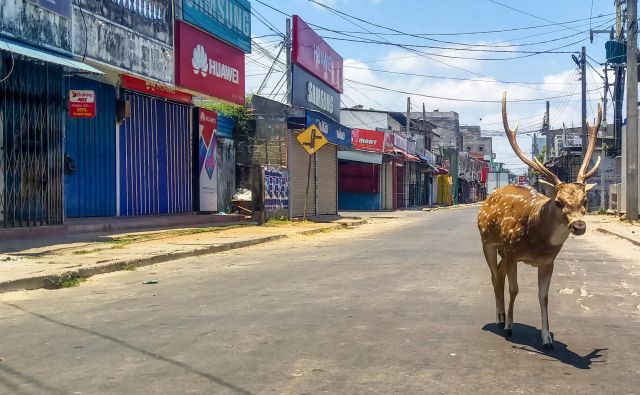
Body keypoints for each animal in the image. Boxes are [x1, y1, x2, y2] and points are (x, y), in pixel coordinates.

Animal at [480, 93, 600, 350]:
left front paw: (547, 338)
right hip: (487, 241)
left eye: (585, 200)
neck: (535, 240)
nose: (579, 226)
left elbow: (543, 296)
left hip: (502, 250)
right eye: (559, 201)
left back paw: (502, 316)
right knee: (494, 276)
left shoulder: (548, 261)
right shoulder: (512, 251)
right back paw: (499, 319)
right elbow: (515, 289)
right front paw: (510, 327)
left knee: (498, 274)